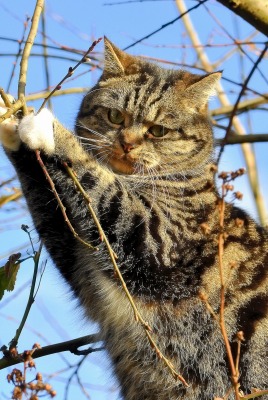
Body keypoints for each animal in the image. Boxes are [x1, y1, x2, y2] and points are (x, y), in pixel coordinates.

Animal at [0, 38, 266, 400]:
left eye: (158, 131)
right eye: (115, 116)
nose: (126, 143)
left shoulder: (154, 237)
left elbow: (101, 183)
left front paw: (45, 127)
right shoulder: (80, 259)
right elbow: (50, 201)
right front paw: (13, 128)